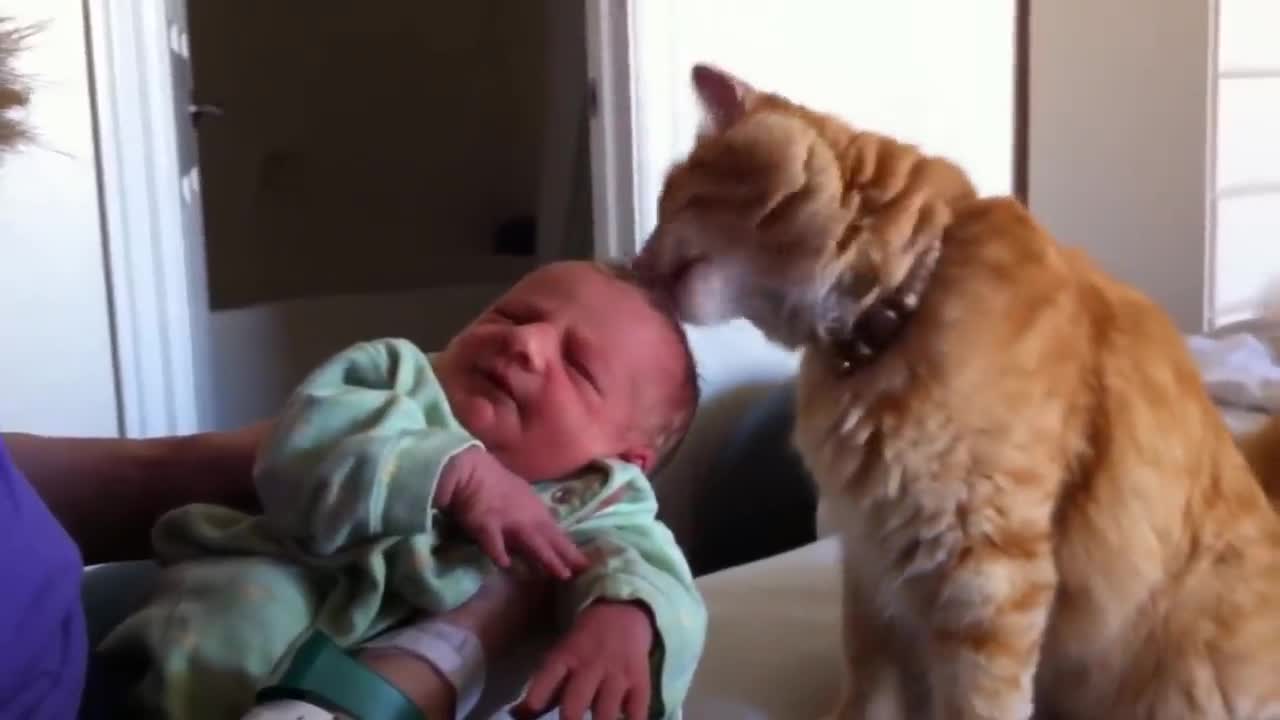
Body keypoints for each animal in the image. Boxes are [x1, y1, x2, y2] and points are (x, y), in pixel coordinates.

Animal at [637, 63, 1280, 717]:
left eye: (672, 200)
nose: (636, 267)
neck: (900, 315)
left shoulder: (985, 572)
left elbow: (978, 699)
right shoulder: (870, 566)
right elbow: (868, 686)